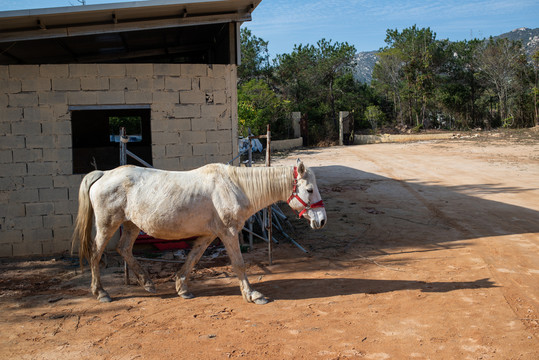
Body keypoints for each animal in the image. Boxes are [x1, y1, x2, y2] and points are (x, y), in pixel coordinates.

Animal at [73, 160, 326, 304]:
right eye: (309, 189)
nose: (321, 220)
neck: (235, 187)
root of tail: (104, 174)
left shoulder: (209, 235)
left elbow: (193, 259)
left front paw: (182, 288)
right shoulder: (228, 232)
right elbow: (239, 264)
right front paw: (253, 295)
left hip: (131, 224)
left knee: (124, 249)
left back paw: (148, 283)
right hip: (107, 224)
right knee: (96, 253)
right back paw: (101, 293)